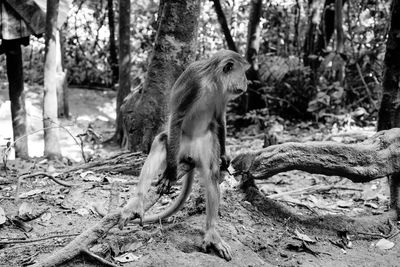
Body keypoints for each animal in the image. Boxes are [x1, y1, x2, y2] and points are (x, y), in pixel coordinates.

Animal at [119, 49, 250, 262]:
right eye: (243, 72)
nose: (246, 82)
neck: (212, 81)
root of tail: (189, 153)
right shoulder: (195, 82)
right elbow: (177, 117)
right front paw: (170, 172)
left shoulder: (222, 94)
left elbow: (219, 119)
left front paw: (225, 156)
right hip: (178, 145)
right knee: (163, 140)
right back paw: (139, 200)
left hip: (204, 145)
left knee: (211, 173)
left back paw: (212, 233)